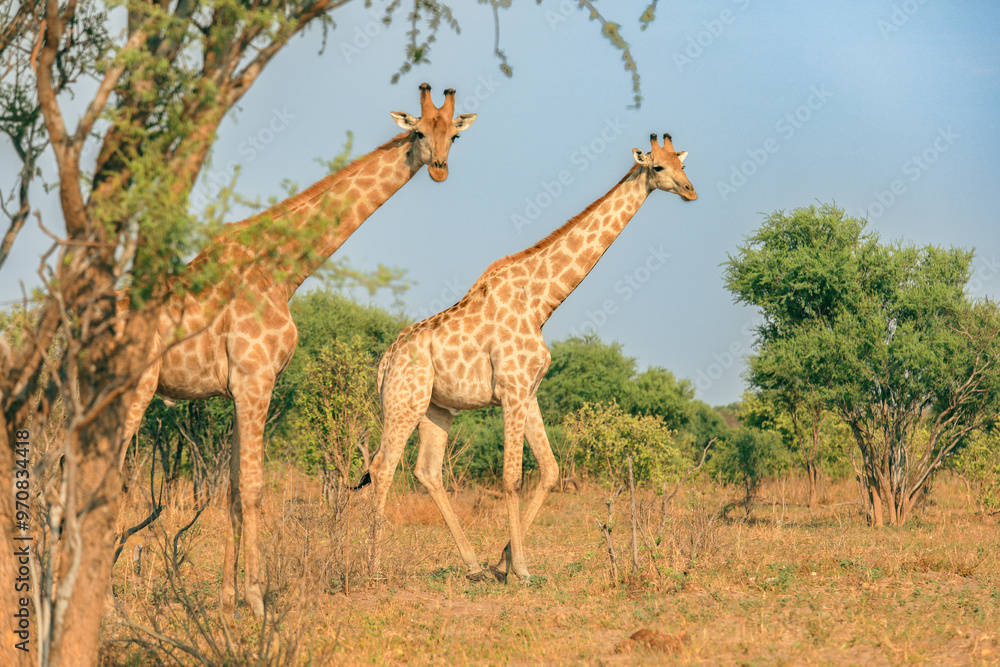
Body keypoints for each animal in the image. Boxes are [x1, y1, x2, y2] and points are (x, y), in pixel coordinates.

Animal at [120, 83, 476, 617]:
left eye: (453, 134)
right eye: (417, 131)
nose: (438, 167)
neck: (283, 269)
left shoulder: (237, 390)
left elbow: (232, 489)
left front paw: (227, 598)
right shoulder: (256, 380)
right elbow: (253, 487)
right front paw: (257, 598)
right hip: (133, 390)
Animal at [359, 133, 696, 583]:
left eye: (682, 163)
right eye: (657, 167)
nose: (691, 191)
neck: (540, 303)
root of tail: (385, 362)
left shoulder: (529, 392)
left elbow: (550, 470)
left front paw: (502, 561)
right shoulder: (512, 390)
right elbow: (512, 476)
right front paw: (519, 569)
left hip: (437, 408)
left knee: (426, 472)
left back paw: (474, 567)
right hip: (403, 402)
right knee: (382, 468)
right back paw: (374, 568)